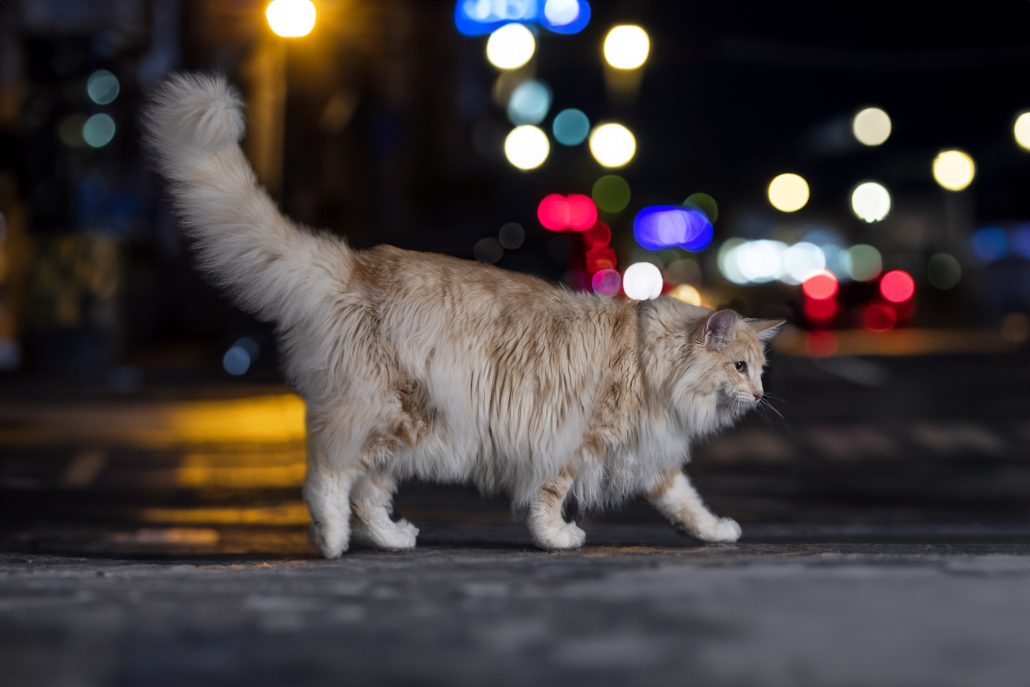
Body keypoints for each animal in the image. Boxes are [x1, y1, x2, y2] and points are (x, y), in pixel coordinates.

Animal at [143, 75, 778, 560]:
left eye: (760, 370)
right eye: (739, 367)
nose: (759, 396)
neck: (652, 362)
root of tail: (354, 262)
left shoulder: (652, 457)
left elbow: (687, 503)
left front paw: (718, 532)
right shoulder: (572, 439)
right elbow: (549, 499)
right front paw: (558, 539)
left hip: (408, 429)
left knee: (366, 493)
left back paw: (393, 539)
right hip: (379, 412)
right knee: (328, 473)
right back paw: (331, 541)